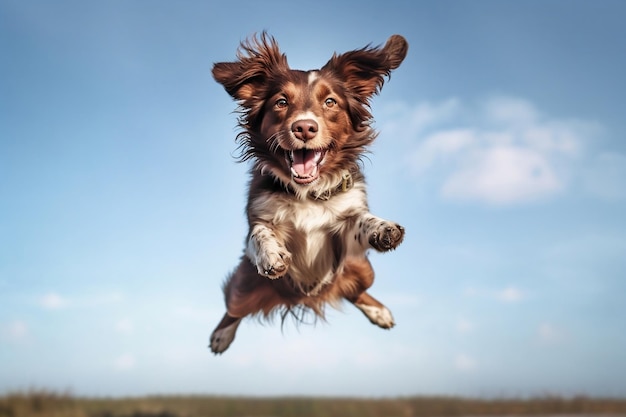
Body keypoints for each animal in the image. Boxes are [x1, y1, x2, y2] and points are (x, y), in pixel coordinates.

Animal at [207, 32, 408, 352]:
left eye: (330, 101)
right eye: (281, 102)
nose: (304, 127)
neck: (307, 193)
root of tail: (306, 296)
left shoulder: (344, 227)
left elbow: (360, 220)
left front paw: (382, 228)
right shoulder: (259, 216)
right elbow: (260, 233)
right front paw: (271, 254)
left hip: (362, 269)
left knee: (354, 291)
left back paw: (379, 312)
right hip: (242, 287)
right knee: (233, 309)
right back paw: (221, 335)